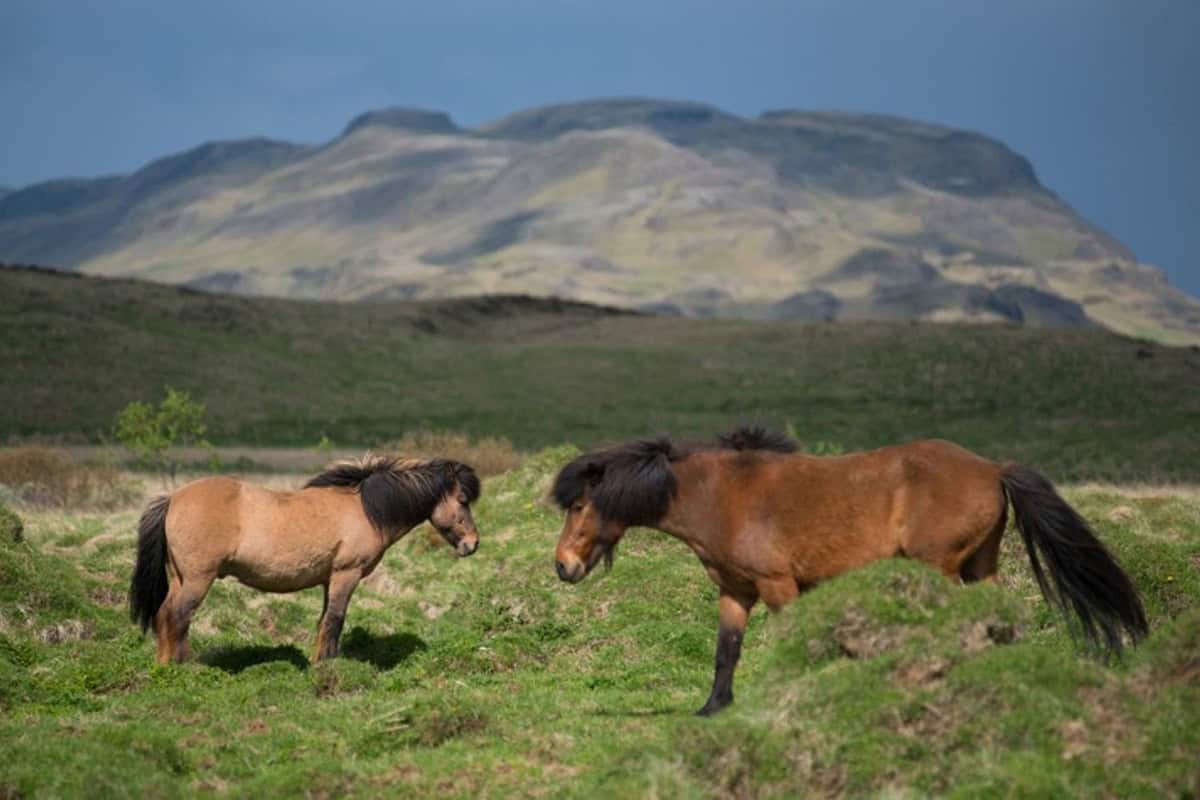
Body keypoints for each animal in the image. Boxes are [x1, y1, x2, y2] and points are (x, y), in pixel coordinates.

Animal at [132, 455, 482, 662]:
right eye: (462, 499)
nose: (473, 544)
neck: (366, 510)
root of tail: (173, 498)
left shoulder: (329, 580)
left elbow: (325, 621)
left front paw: (322, 661)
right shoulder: (346, 575)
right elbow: (335, 620)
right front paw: (325, 668)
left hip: (180, 578)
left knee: (164, 616)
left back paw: (166, 667)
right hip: (197, 579)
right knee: (178, 617)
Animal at [549, 429, 1142, 714]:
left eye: (578, 506)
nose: (563, 567)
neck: (721, 496)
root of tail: (993, 468)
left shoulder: (779, 586)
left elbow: (800, 642)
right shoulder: (736, 592)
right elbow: (726, 652)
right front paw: (714, 707)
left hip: (941, 569)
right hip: (981, 567)